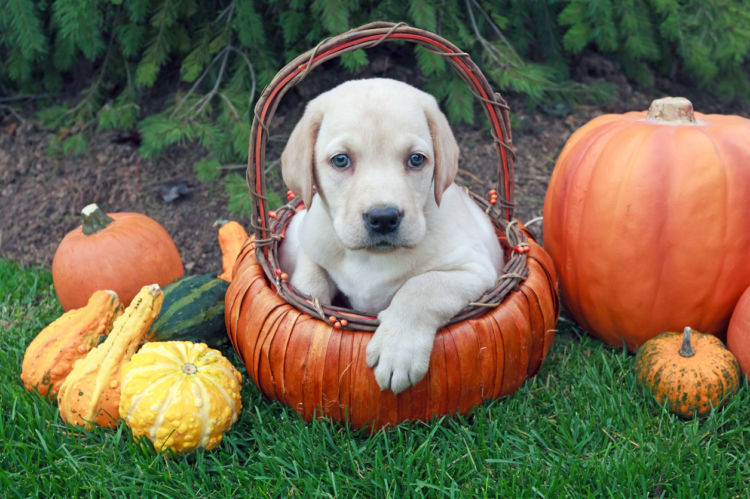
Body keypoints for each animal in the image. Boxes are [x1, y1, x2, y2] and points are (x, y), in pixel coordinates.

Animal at [280, 79, 502, 394]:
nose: (383, 218)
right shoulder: (310, 241)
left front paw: (398, 350)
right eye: (341, 160)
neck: (370, 259)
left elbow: (422, 287)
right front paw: (312, 309)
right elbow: (308, 280)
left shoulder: (474, 269)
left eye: (416, 159)